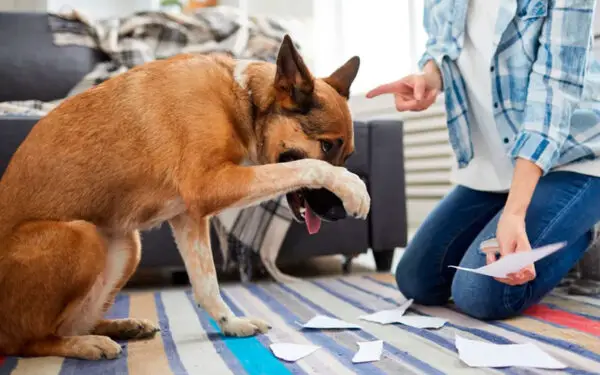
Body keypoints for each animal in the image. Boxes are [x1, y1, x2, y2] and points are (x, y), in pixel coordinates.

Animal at [0, 36, 368, 362]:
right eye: (327, 146)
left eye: (349, 154)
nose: (337, 214)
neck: (245, 99)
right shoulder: (209, 185)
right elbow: (305, 166)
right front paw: (353, 187)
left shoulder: (189, 217)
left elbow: (206, 283)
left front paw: (231, 324)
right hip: (82, 236)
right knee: (29, 341)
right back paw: (85, 345)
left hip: (127, 246)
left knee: (68, 324)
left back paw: (120, 327)